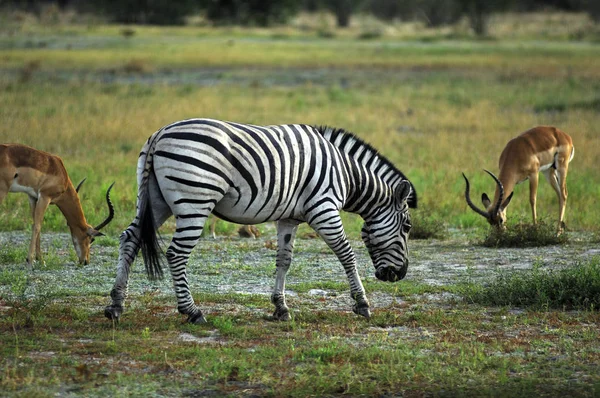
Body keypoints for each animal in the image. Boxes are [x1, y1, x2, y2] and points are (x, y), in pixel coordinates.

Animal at [104, 118, 418, 324]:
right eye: (407, 227)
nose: (400, 274)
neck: (346, 173)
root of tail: (159, 134)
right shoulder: (323, 208)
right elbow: (347, 255)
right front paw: (362, 303)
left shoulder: (289, 218)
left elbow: (283, 260)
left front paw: (281, 308)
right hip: (195, 200)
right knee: (176, 253)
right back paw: (192, 312)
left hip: (155, 200)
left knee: (130, 239)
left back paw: (116, 304)